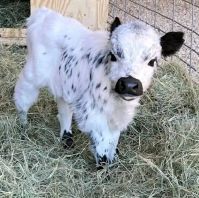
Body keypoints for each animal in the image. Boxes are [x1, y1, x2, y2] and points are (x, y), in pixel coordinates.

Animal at [14, 8, 184, 168]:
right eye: (113, 55)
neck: (118, 102)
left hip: (64, 83)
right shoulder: (93, 113)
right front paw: (104, 167)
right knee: (22, 98)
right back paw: (23, 127)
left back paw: (66, 139)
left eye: (152, 61)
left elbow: (113, 140)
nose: (129, 84)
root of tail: (43, 14)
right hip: (32, 76)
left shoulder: (118, 117)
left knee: (63, 108)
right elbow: (102, 143)